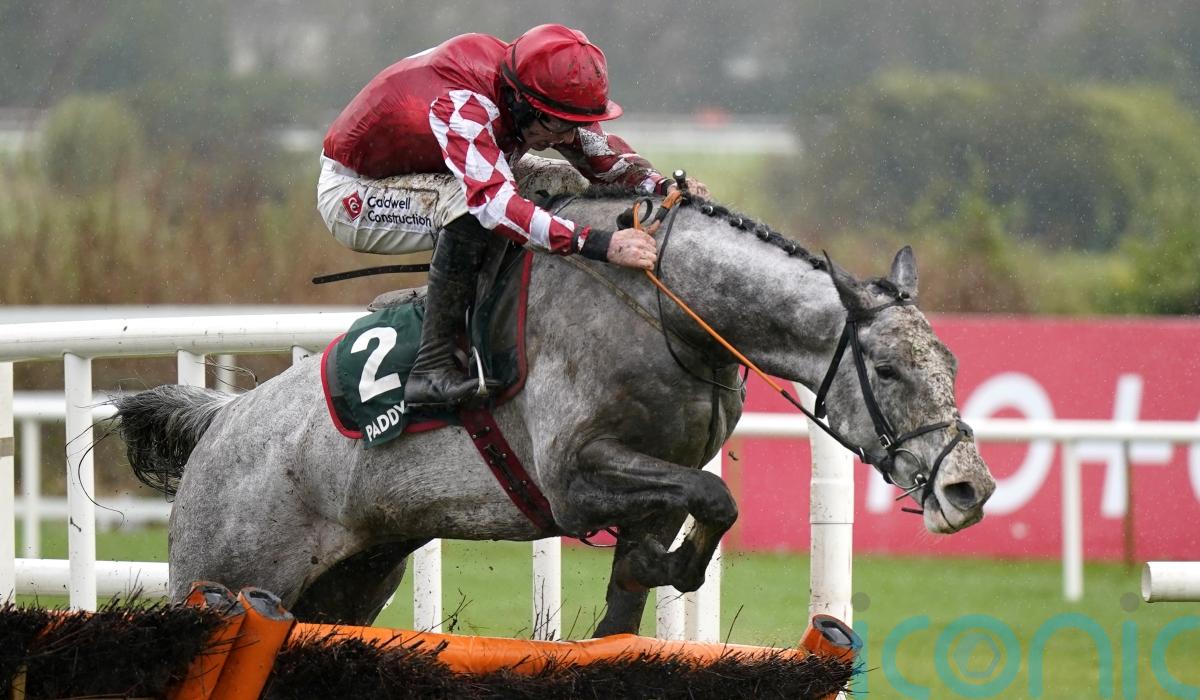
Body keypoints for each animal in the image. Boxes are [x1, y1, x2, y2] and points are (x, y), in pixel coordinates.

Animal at [114, 188, 996, 636]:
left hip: (350, 582)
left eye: (951, 364)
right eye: (887, 369)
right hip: (228, 574)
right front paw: (673, 567)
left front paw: (659, 569)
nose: (971, 489)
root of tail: (218, 426)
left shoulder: (656, 480)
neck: (669, 311)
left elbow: (658, 562)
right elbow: (715, 497)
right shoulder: (574, 479)